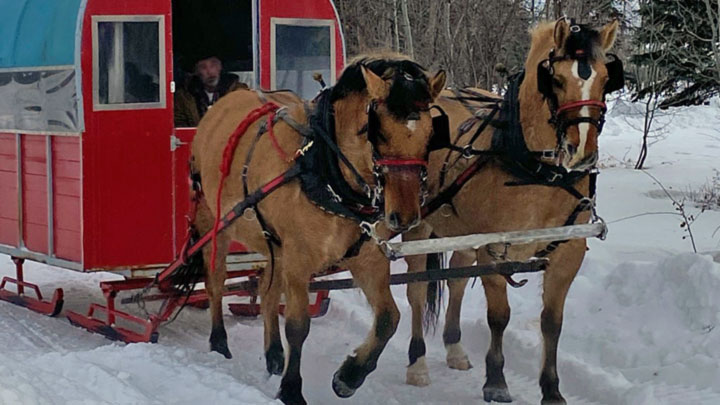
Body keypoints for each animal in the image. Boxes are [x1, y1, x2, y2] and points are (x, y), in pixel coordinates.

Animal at [186, 54, 446, 404]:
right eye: (378, 133)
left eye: (431, 134)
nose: (404, 217)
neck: (325, 174)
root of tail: (225, 102)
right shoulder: (299, 258)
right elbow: (298, 325)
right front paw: (291, 390)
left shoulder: (367, 257)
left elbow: (389, 318)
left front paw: (349, 375)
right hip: (213, 222)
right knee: (215, 282)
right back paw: (219, 342)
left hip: (273, 243)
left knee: (267, 292)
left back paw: (273, 354)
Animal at [400, 19, 622, 404]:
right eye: (555, 79)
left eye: (607, 78)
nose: (582, 151)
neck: (538, 171)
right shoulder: (494, 249)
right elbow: (499, 316)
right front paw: (496, 381)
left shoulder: (568, 252)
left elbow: (552, 321)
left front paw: (551, 389)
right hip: (418, 226)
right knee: (415, 287)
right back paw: (417, 362)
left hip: (462, 232)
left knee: (457, 279)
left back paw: (455, 347)